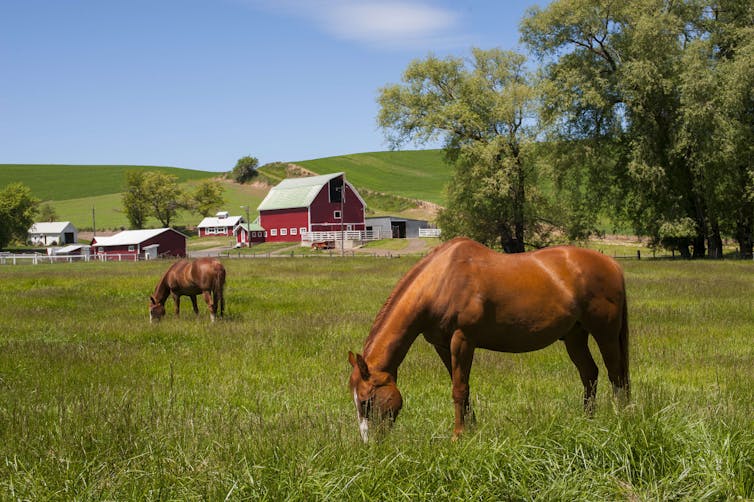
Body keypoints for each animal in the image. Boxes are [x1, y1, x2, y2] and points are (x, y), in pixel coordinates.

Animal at [348, 237, 628, 442]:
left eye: (366, 401)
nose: (370, 444)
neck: (442, 280)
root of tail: (612, 264)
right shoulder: (442, 345)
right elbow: (464, 388)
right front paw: (472, 429)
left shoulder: (462, 340)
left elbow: (459, 389)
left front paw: (458, 436)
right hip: (574, 336)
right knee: (589, 374)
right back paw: (587, 420)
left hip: (605, 333)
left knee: (616, 376)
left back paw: (619, 420)